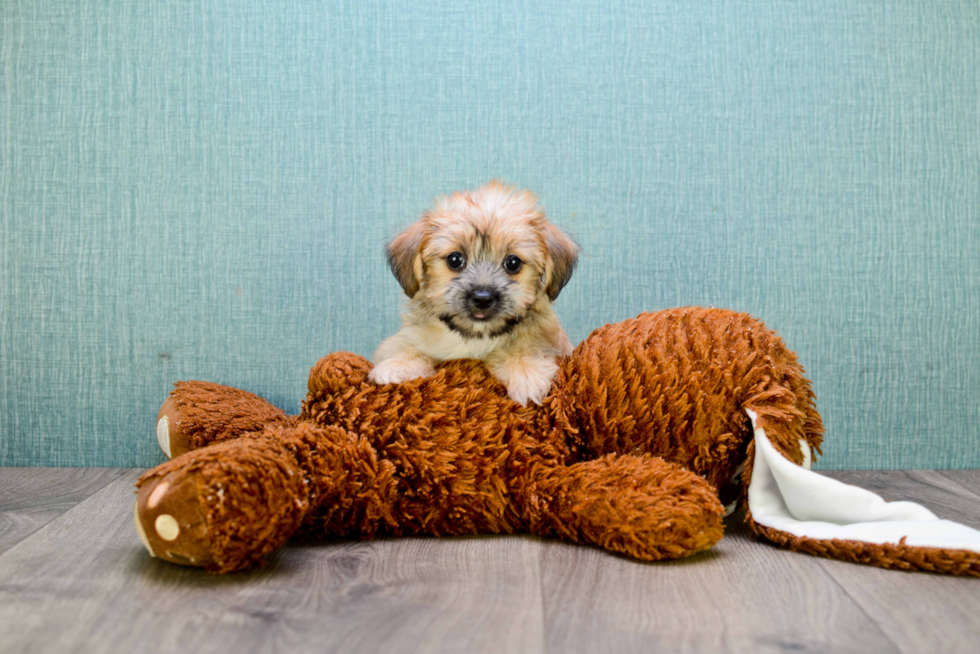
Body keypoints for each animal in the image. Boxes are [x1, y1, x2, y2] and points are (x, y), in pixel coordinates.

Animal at [372, 179, 580, 404]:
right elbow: (404, 346)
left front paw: (525, 372)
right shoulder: (407, 338)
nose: (482, 298)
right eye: (455, 260)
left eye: (513, 263)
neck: (473, 338)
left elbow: (522, 347)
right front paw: (398, 365)